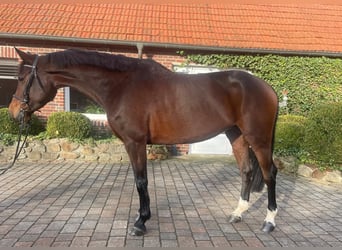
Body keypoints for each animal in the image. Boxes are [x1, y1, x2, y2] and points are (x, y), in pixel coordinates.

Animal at [8, 47, 278, 235]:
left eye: (21, 78)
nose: (13, 112)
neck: (122, 85)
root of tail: (267, 88)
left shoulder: (134, 142)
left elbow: (141, 181)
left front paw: (140, 222)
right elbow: (141, 181)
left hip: (259, 138)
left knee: (269, 173)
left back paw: (269, 222)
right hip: (236, 134)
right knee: (246, 170)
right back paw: (237, 213)